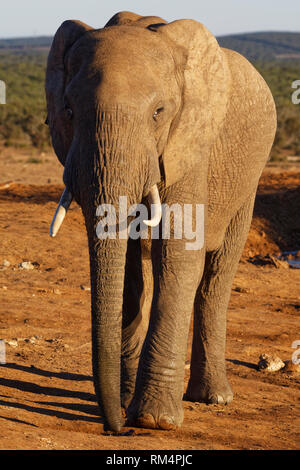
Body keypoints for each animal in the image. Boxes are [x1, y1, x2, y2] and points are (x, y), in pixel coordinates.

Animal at [45, 11, 276, 432]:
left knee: (217, 276)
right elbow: (130, 267)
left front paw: (154, 421)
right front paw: (125, 402)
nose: (115, 427)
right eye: (68, 111)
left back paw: (214, 397)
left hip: (249, 180)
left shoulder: (189, 144)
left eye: (159, 113)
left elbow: (178, 254)